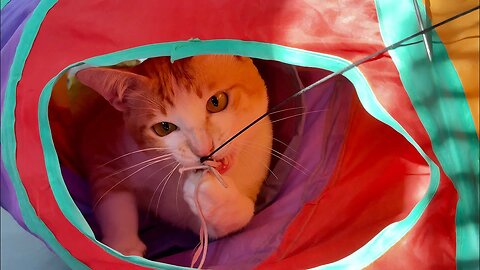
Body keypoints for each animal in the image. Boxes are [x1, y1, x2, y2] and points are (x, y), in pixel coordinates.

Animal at [73, 55, 272, 258]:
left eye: (216, 101)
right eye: (164, 128)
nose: (203, 150)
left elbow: (230, 222)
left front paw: (214, 197)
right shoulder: (101, 143)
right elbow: (112, 197)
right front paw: (123, 246)